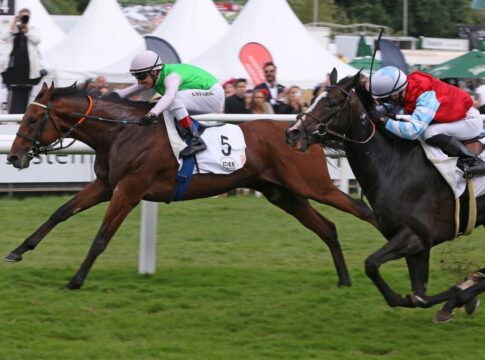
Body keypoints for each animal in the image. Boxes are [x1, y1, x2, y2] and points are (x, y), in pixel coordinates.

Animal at [5, 82, 374, 290]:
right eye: (23, 117)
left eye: (33, 119)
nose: (13, 156)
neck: (121, 132)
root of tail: (306, 131)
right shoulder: (106, 185)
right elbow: (60, 212)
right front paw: (17, 251)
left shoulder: (130, 190)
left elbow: (100, 239)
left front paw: (75, 280)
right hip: (283, 194)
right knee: (327, 228)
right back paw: (343, 279)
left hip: (314, 186)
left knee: (365, 212)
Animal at [286, 69, 484, 320]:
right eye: (312, 99)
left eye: (331, 103)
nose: (292, 133)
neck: (392, 166)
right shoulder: (415, 244)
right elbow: (418, 296)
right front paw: (461, 291)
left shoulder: (416, 235)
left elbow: (372, 265)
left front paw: (458, 294)